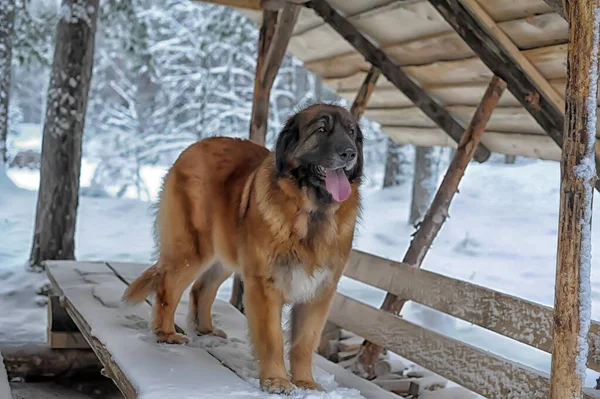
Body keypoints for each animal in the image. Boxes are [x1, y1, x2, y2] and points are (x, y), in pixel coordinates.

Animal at [124, 102, 364, 394]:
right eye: (321, 129)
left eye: (351, 132)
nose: (349, 153)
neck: (312, 214)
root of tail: (195, 145)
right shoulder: (264, 285)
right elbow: (272, 338)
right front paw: (276, 380)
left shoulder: (319, 291)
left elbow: (304, 342)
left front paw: (306, 383)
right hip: (192, 250)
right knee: (168, 286)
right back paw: (166, 333)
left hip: (224, 254)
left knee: (201, 288)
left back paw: (205, 329)